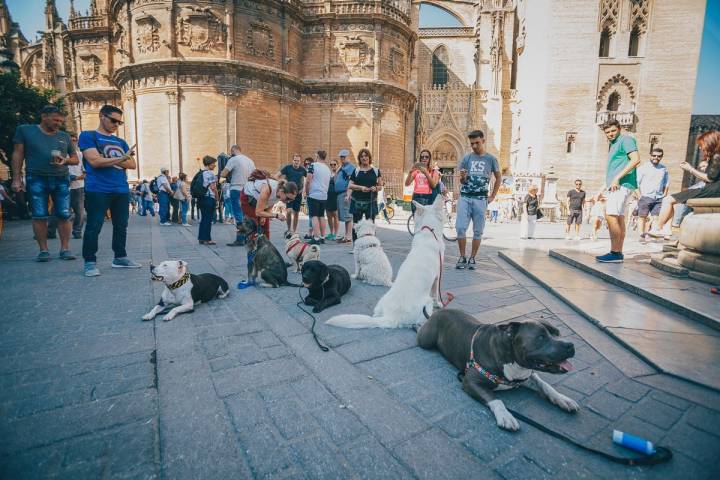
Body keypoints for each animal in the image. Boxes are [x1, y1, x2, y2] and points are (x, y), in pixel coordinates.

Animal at [416, 310, 580, 434]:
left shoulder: (526, 376)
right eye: (541, 337)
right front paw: (505, 416)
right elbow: (495, 398)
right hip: (425, 341)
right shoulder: (470, 381)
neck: (512, 358)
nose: (570, 345)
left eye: (557, 333)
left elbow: (545, 385)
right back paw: (416, 324)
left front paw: (562, 399)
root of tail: (438, 311)